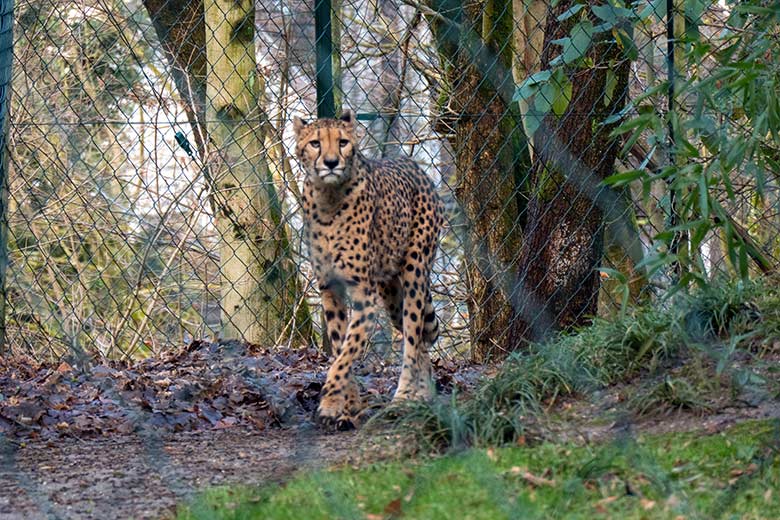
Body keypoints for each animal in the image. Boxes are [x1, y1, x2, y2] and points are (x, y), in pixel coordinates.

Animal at [292, 109, 444, 430]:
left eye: (343, 142)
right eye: (315, 143)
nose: (331, 162)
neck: (328, 198)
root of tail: (411, 163)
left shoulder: (364, 294)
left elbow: (348, 352)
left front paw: (329, 401)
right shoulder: (330, 289)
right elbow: (341, 348)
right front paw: (346, 406)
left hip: (414, 273)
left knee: (413, 337)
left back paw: (403, 397)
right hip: (391, 293)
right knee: (418, 341)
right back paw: (424, 393)